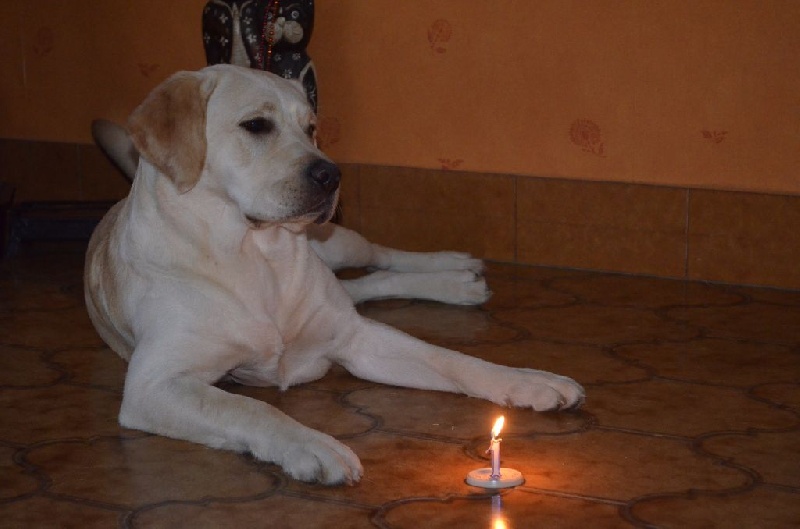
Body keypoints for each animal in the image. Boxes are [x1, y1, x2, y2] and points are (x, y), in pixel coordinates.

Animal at [84, 66, 584, 486]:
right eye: (256, 125)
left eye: (310, 128)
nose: (331, 174)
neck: (257, 257)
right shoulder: (154, 384)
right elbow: (248, 407)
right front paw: (314, 445)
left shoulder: (355, 337)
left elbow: (454, 359)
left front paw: (531, 381)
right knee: (363, 285)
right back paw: (458, 281)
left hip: (337, 241)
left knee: (380, 260)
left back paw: (455, 272)